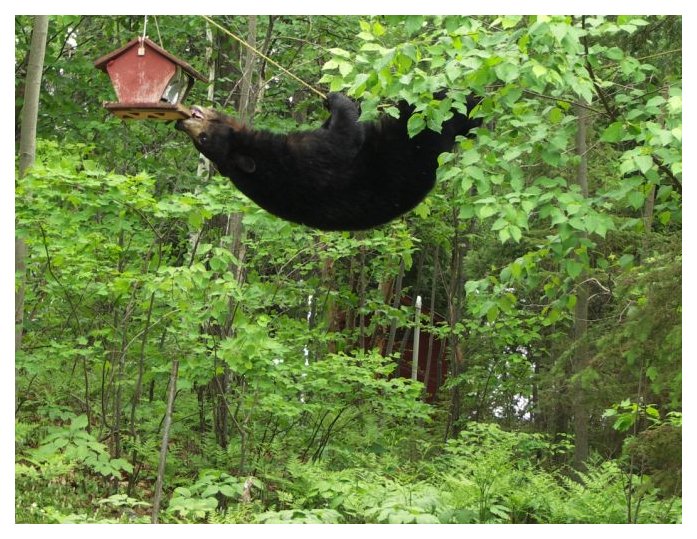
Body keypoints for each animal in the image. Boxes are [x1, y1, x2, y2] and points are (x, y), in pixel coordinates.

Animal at [175, 93, 478, 232]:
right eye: (202, 139)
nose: (182, 123)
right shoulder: (306, 159)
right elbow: (345, 138)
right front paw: (337, 100)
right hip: (418, 140)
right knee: (438, 115)